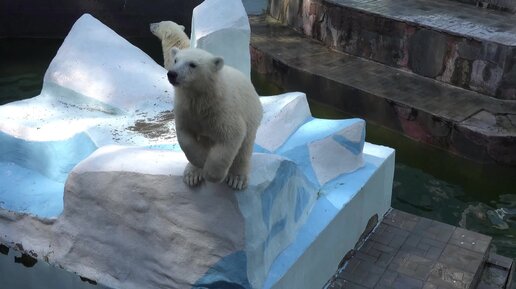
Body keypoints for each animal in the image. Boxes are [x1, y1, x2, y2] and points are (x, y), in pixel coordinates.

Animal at [168, 48, 264, 190]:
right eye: (175, 60)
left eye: (192, 64)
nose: (172, 74)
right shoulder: (186, 111)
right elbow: (185, 136)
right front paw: (201, 161)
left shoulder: (223, 111)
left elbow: (231, 136)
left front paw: (212, 175)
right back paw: (192, 174)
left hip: (251, 115)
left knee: (245, 148)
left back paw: (237, 178)